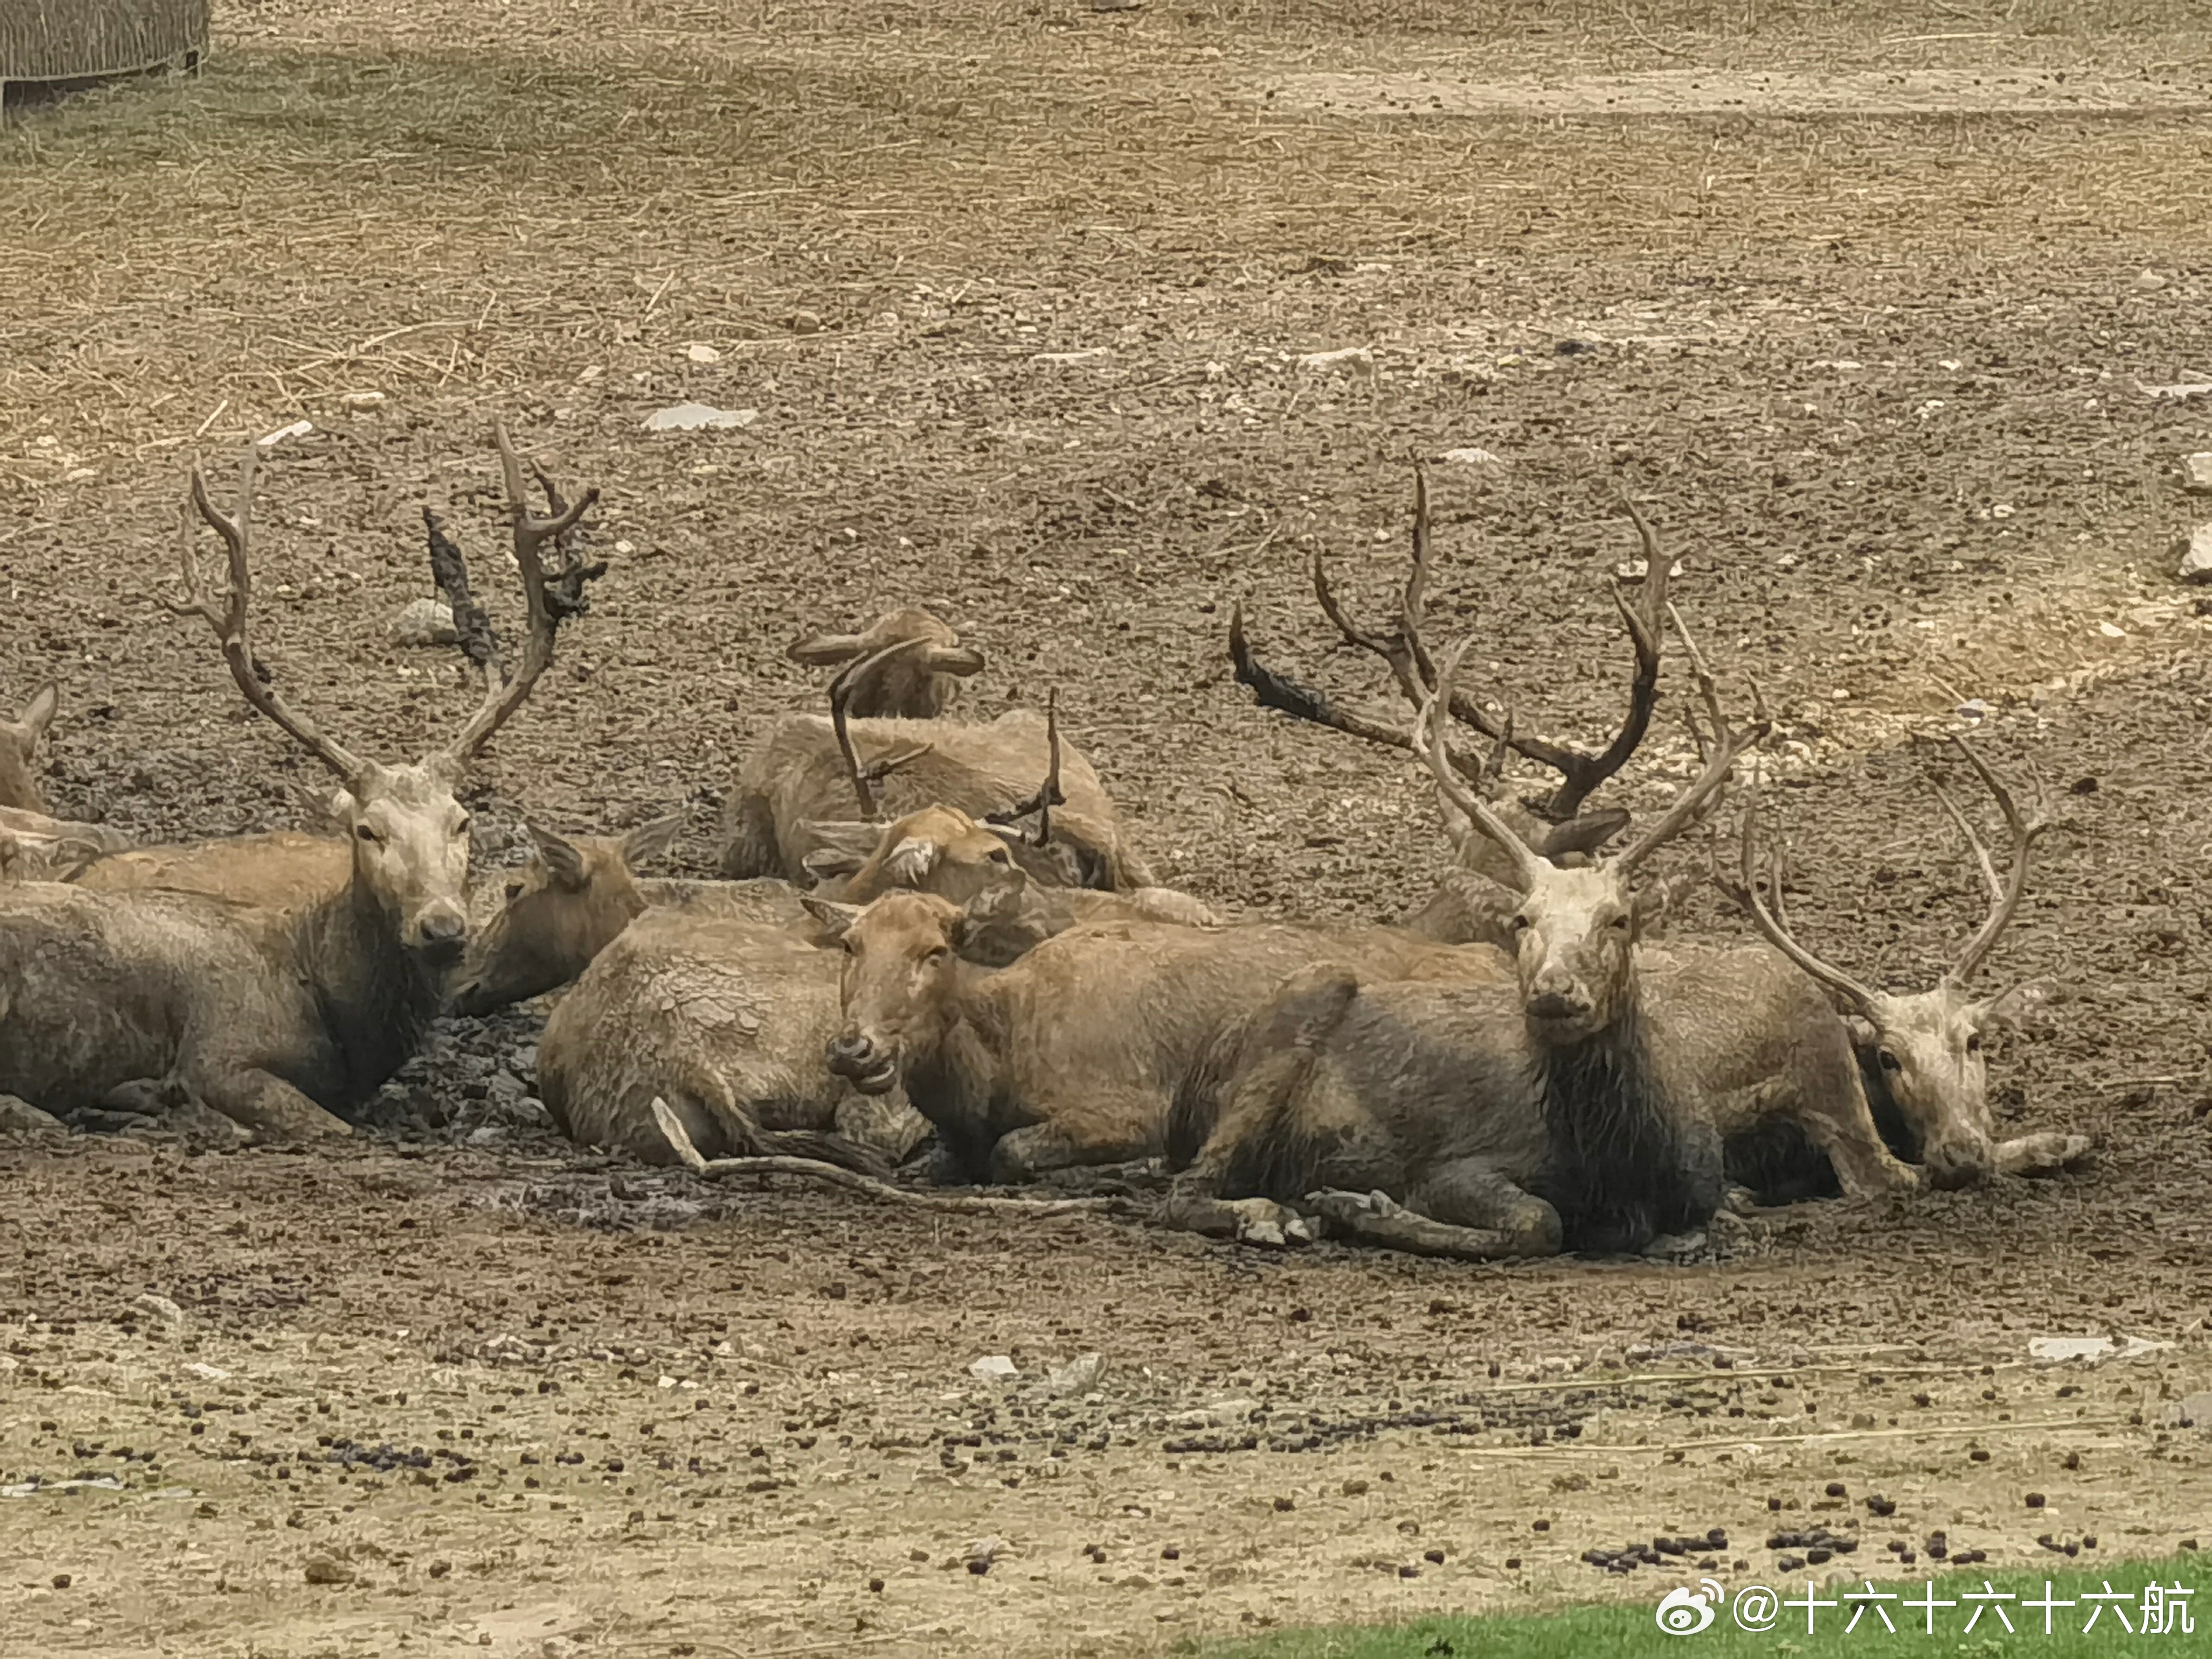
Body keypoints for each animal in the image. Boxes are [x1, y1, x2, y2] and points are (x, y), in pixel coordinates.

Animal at [0, 429, 606, 1141]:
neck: (339, 1018)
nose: (442, 926)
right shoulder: (221, 1051)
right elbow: (323, 1124)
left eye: (462, 821)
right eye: (367, 830)